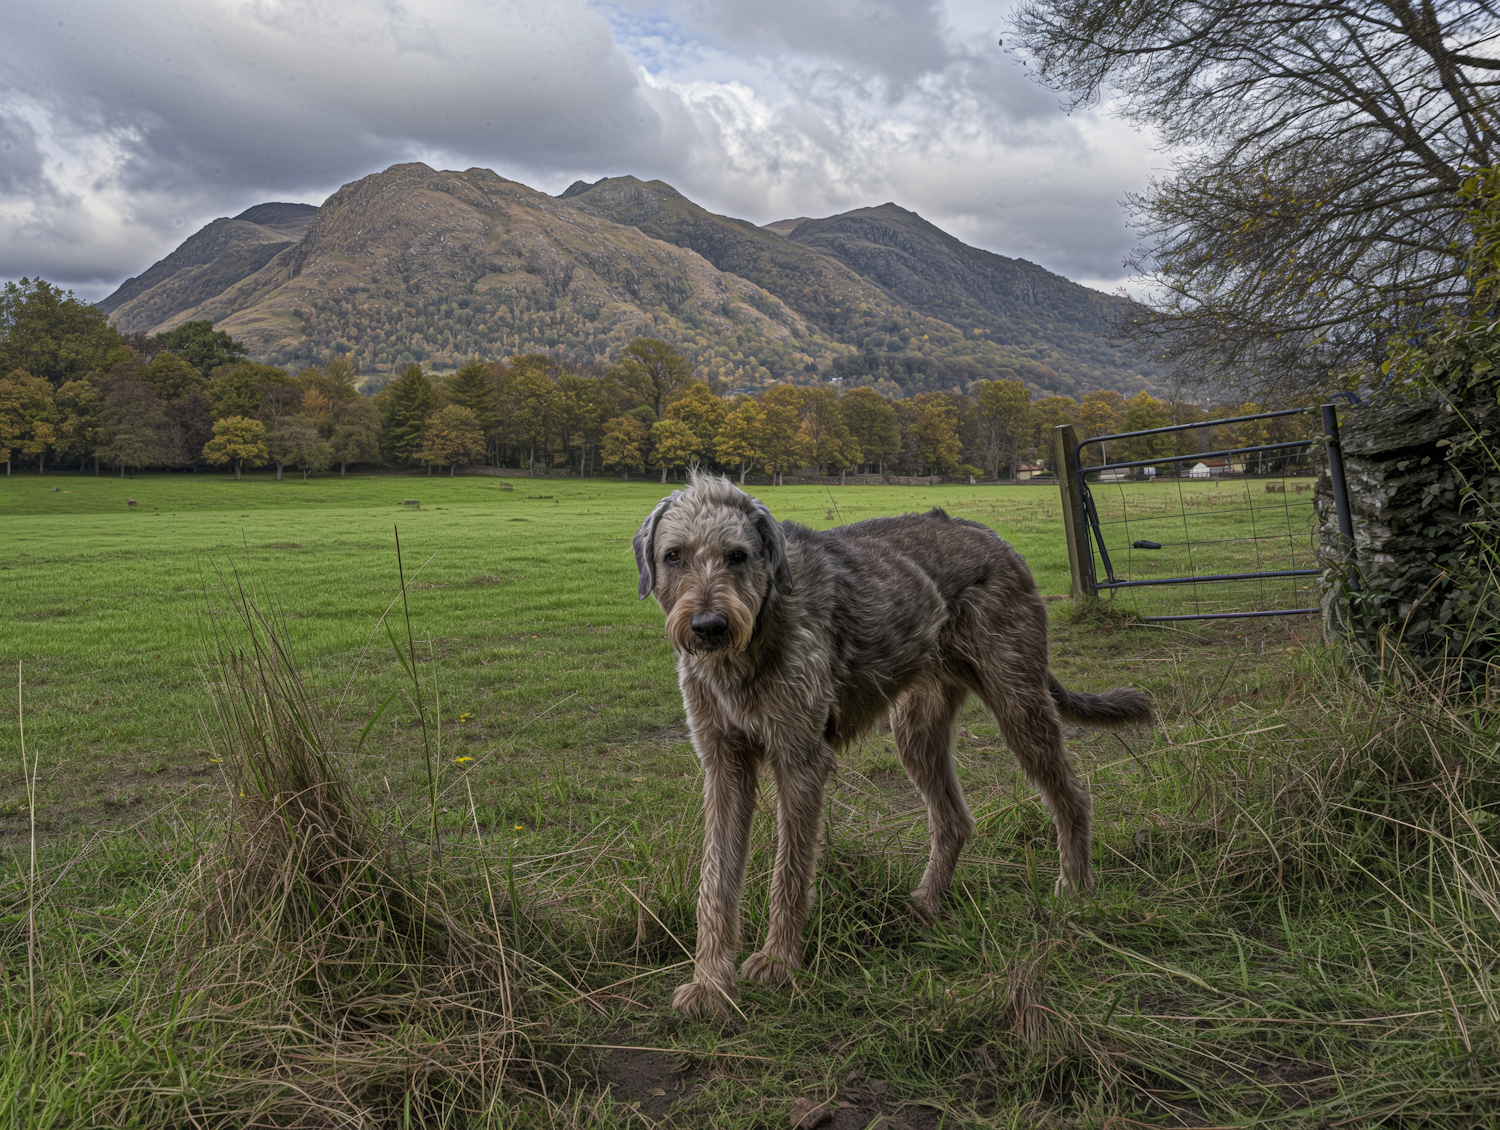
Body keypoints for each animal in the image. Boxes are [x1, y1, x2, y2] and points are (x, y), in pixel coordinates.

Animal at [633, 468, 1146, 1014]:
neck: (748, 647)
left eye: (737, 555)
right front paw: (711, 982)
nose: (709, 627)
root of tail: (993, 537)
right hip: (917, 731)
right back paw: (927, 903)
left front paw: (778, 962)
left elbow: (789, 870)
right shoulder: (724, 763)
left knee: (1071, 794)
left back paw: (1075, 887)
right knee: (954, 819)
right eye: (673, 555)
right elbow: (716, 877)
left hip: (1018, 702)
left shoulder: (800, 759)